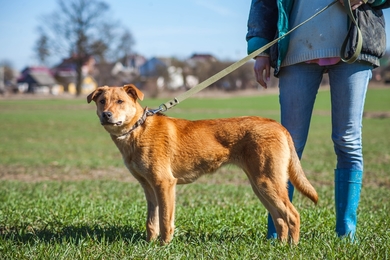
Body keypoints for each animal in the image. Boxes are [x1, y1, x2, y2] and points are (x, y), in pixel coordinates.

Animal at [87, 85, 318, 244]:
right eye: (102, 101)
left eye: (120, 101)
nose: (106, 115)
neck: (138, 130)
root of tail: (278, 125)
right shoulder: (149, 188)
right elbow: (152, 222)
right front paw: (150, 244)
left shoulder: (165, 184)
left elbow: (165, 220)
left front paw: (163, 246)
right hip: (261, 186)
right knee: (280, 219)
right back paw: (279, 246)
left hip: (267, 182)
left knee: (293, 215)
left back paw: (292, 248)